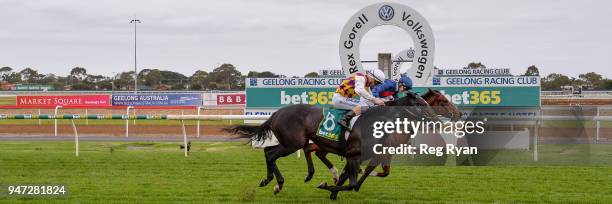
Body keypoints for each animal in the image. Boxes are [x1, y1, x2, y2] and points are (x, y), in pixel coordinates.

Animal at [227, 89, 462, 199]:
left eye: (428, 103)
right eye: (441, 101)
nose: (458, 114)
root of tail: (277, 113)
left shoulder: (361, 155)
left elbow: (354, 176)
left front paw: (332, 189)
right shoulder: (361, 154)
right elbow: (353, 179)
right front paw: (330, 187)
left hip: (300, 142)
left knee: (274, 151)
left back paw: (276, 180)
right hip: (292, 143)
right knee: (271, 154)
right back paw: (276, 182)